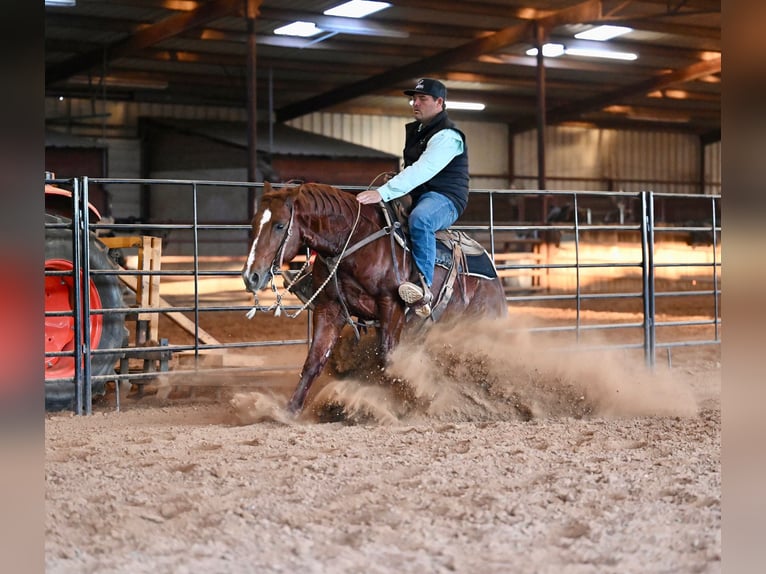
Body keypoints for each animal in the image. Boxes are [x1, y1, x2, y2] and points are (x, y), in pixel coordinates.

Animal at [241, 181, 508, 414]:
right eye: (253, 223)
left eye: (279, 225)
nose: (250, 276)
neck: (355, 240)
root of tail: (494, 278)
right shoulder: (330, 307)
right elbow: (314, 360)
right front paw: (289, 411)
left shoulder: (391, 306)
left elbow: (388, 359)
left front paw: (391, 404)